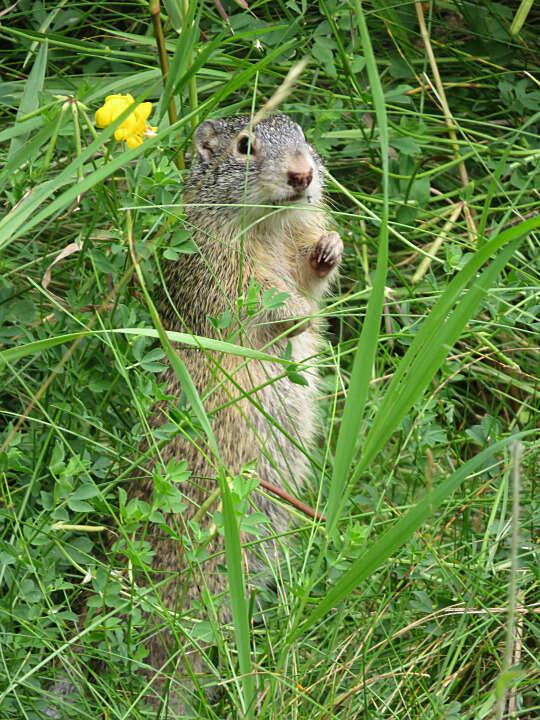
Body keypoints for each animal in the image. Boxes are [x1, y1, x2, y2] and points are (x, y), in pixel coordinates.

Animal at [47, 112, 342, 716]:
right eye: (245, 146)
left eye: (304, 137)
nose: (302, 175)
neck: (269, 228)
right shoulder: (219, 269)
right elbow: (266, 302)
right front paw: (297, 309)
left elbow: (312, 277)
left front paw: (331, 246)